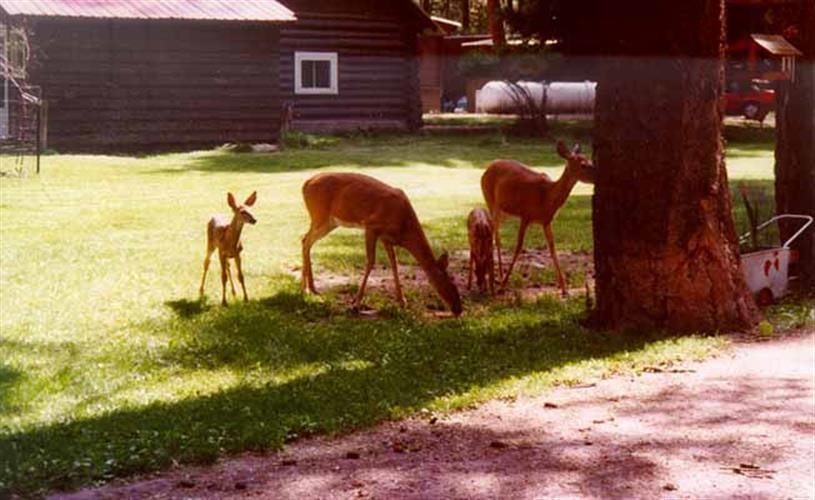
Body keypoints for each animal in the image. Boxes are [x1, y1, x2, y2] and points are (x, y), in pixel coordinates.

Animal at [301, 172, 463, 316]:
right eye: (450, 284)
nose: (459, 310)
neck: (404, 227)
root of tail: (306, 184)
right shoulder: (372, 226)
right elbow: (371, 262)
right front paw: (355, 304)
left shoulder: (386, 238)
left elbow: (394, 263)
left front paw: (402, 301)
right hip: (320, 215)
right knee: (305, 239)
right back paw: (306, 289)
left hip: (330, 222)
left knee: (305, 240)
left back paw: (310, 288)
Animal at [481, 141, 596, 296]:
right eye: (583, 164)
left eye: (590, 160)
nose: (597, 176)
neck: (546, 197)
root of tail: (489, 166)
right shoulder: (525, 215)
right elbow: (518, 247)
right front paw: (503, 286)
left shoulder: (546, 221)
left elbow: (552, 248)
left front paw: (564, 289)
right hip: (490, 200)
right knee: (495, 235)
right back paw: (496, 278)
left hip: (504, 212)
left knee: (496, 233)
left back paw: (498, 274)